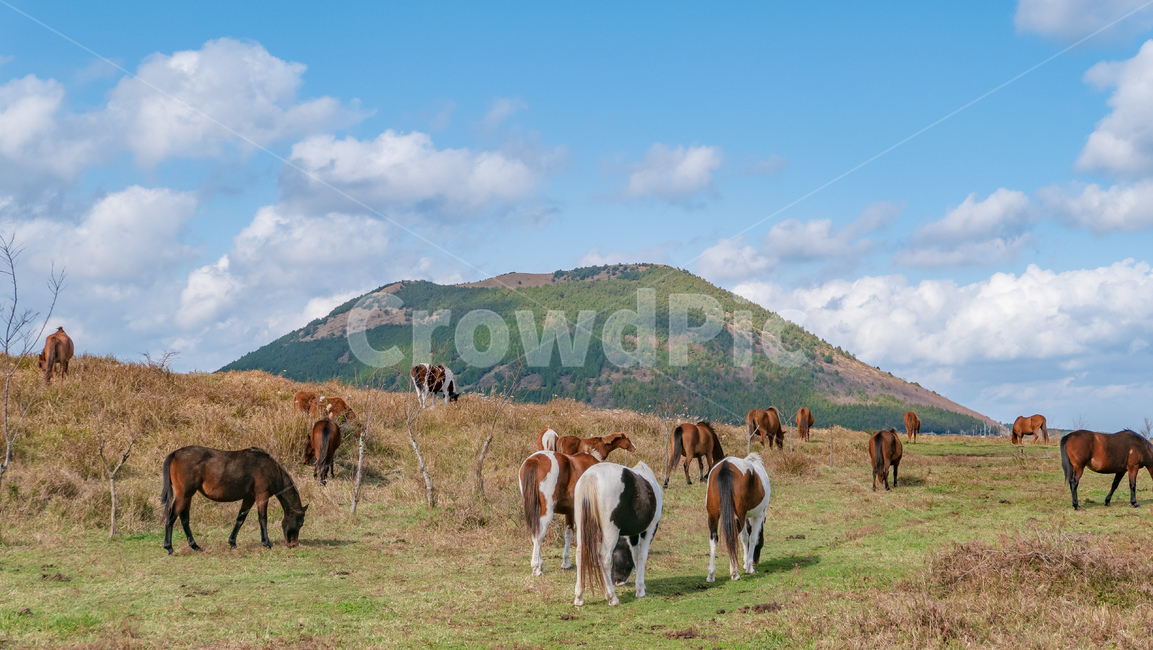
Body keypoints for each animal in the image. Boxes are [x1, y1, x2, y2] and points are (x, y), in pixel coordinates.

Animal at [160, 446, 308, 554]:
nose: (293, 544)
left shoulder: (249, 497)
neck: (270, 468)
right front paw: (266, 542)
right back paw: (169, 547)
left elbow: (240, 518)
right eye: (300, 523)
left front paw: (232, 542)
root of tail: (176, 453)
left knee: (184, 520)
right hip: (184, 495)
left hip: (187, 496)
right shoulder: (262, 495)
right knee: (171, 517)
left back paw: (194, 546)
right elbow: (263, 519)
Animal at [573, 461, 663, 606]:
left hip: (582, 528)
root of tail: (592, 476)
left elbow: (635, 555)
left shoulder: (633, 534)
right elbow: (642, 556)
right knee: (604, 557)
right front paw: (640, 590)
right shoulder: (650, 529)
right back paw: (612, 598)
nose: (617, 580)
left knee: (580, 554)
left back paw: (579, 598)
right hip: (611, 532)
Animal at [706, 453, 771, 582]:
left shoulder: (744, 517)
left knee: (714, 539)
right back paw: (734, 573)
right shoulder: (758, 516)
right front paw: (749, 567)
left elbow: (745, 538)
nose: (756, 561)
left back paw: (711, 575)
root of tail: (725, 466)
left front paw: (746, 563)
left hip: (713, 515)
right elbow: (752, 538)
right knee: (732, 538)